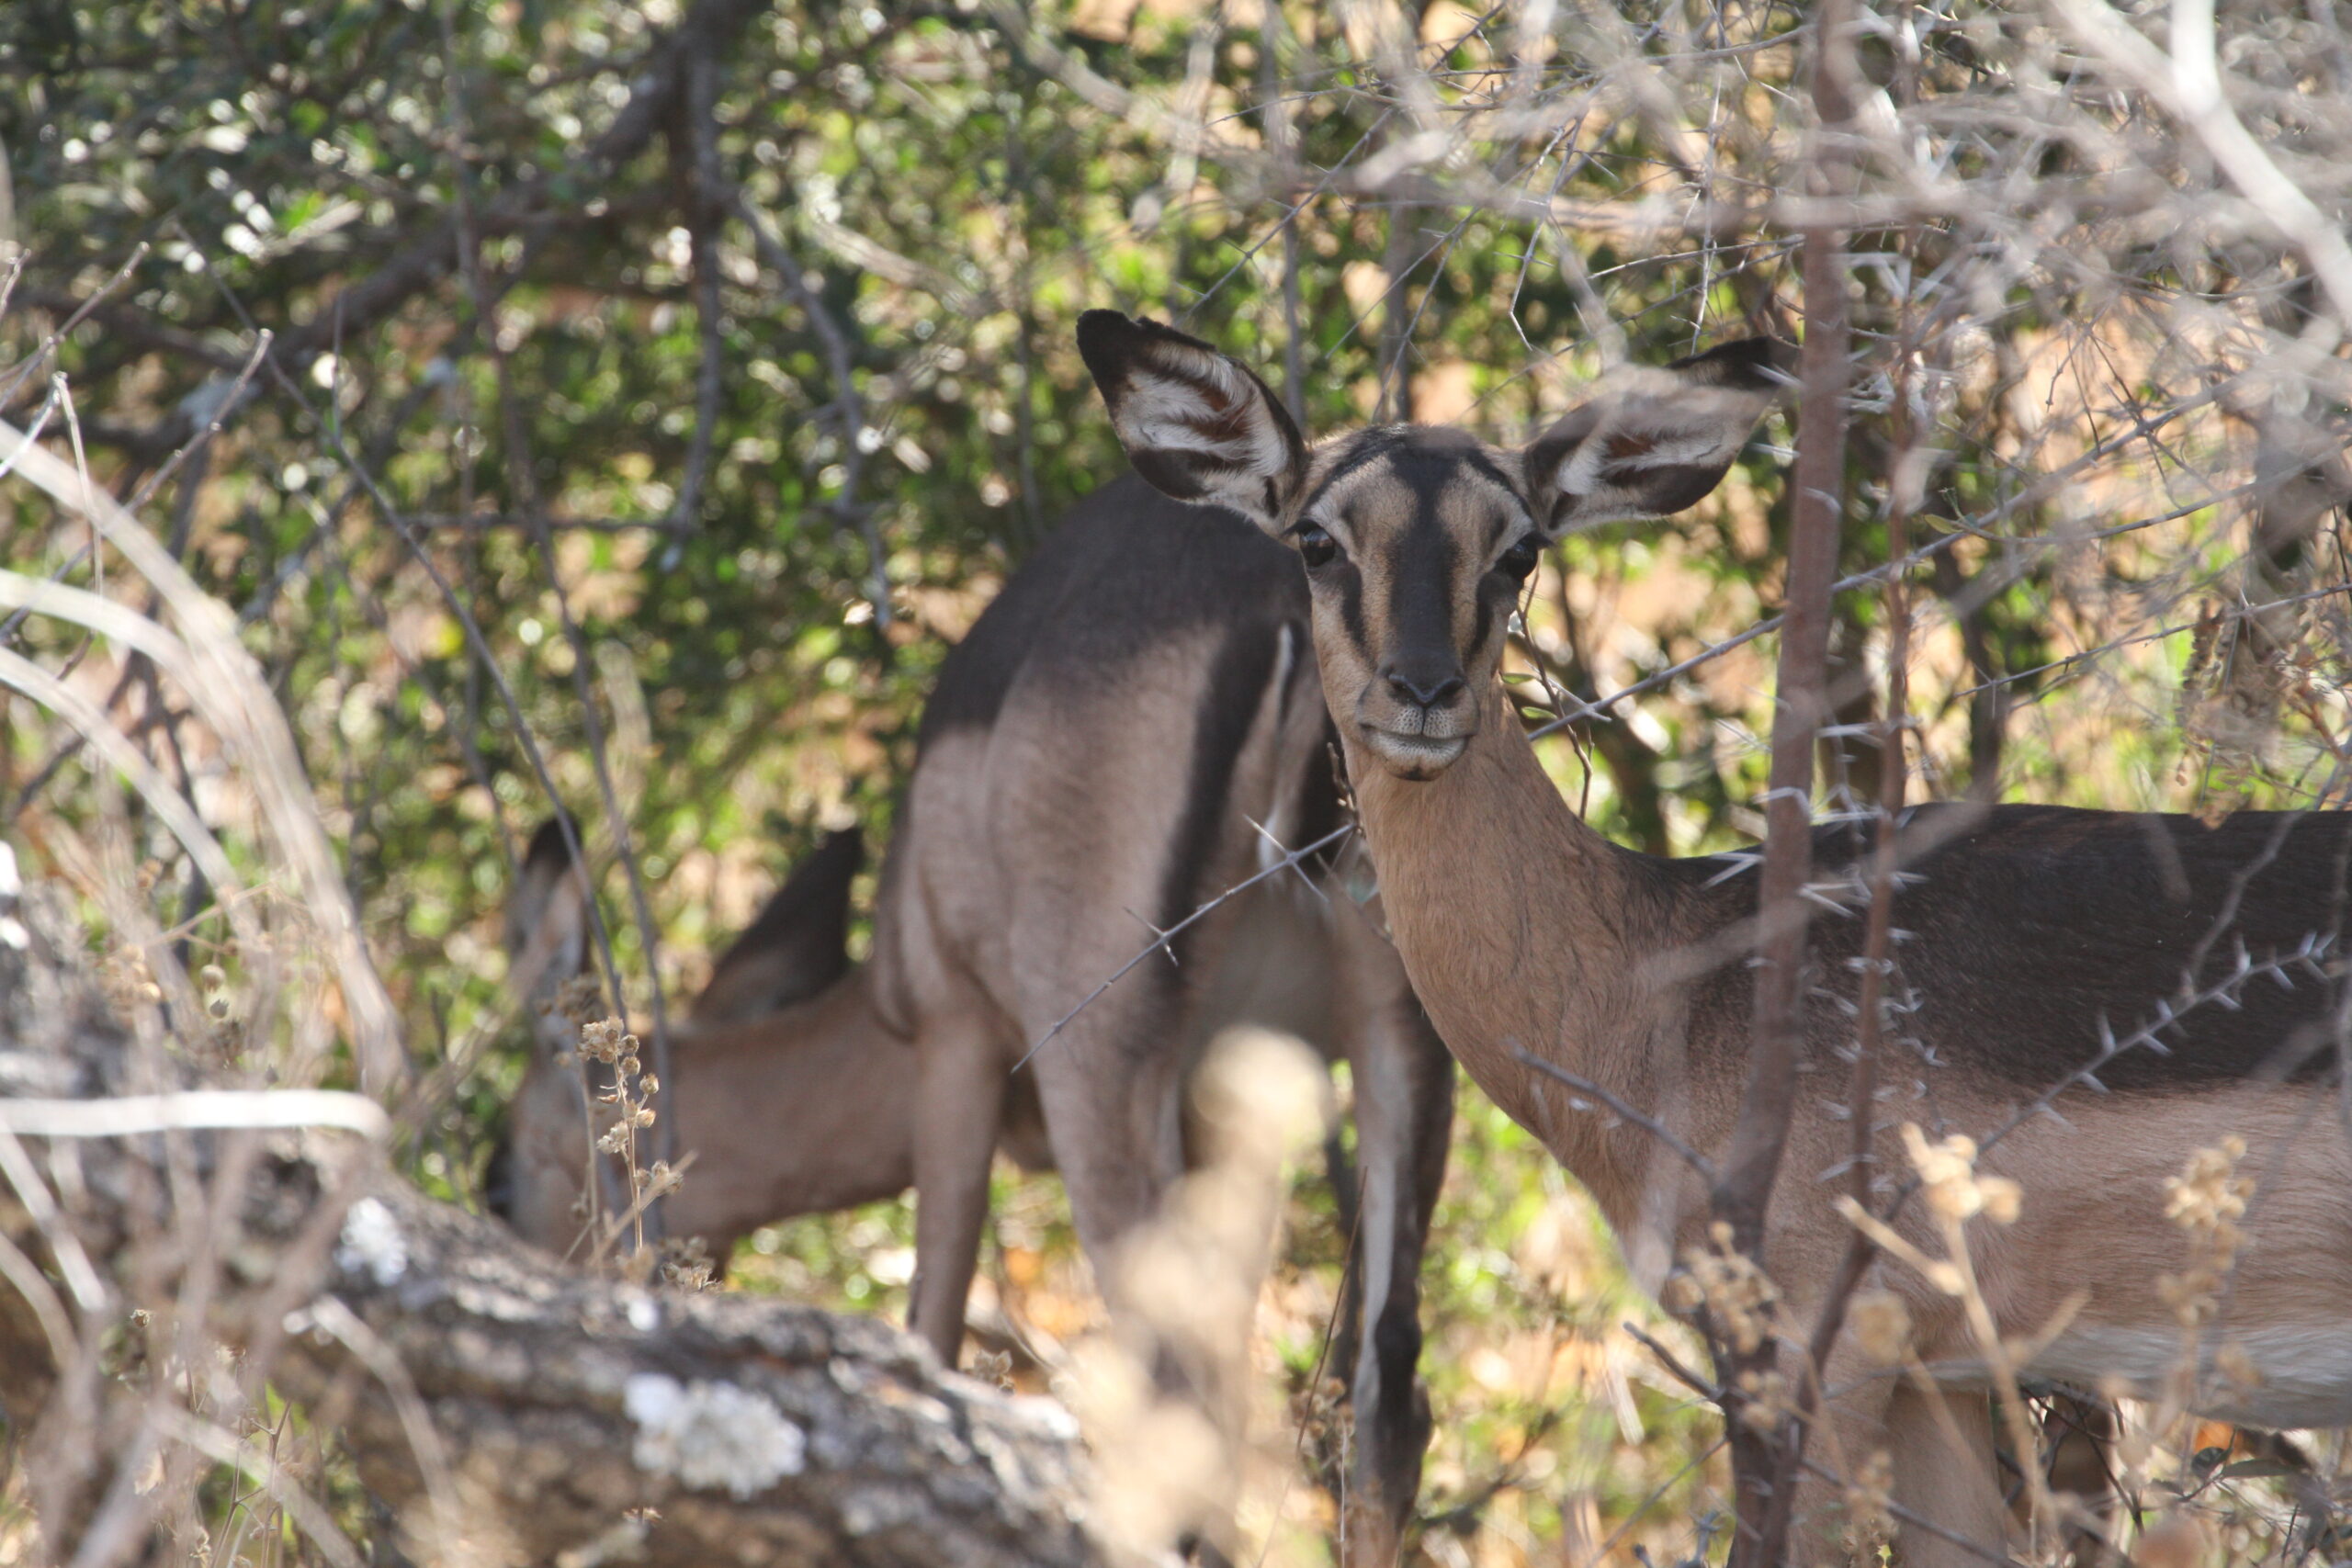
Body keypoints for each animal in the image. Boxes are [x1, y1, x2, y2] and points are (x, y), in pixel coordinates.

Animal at [494, 493, 1458, 1561]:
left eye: (501, 1172)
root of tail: (1285, 604)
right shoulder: (1221, 1104)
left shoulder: (952, 1046)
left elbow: (930, 1330)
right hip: (1403, 1029)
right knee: (1385, 1395)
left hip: (1100, 1061)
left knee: (1184, 1396)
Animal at [1079, 308, 2352, 1566]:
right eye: (1316, 538)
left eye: (1520, 547)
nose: (1424, 692)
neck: (1671, 987)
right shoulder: (1930, 1377)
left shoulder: (1814, 1354)